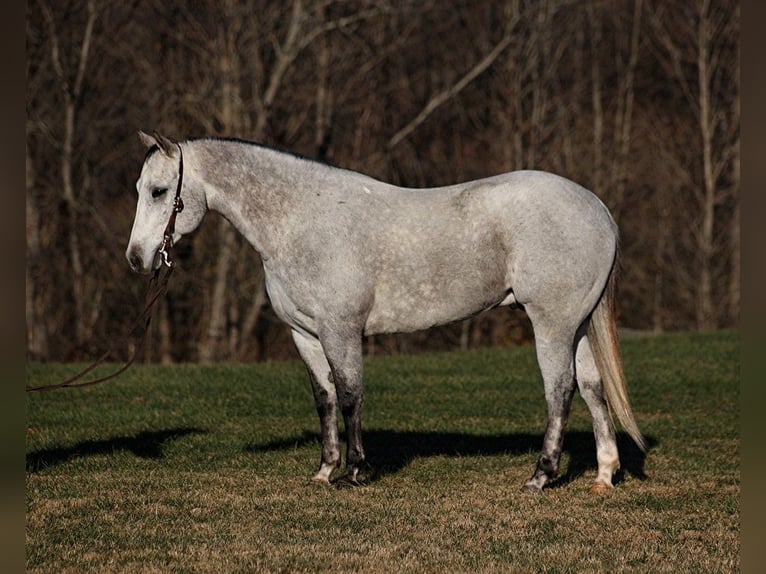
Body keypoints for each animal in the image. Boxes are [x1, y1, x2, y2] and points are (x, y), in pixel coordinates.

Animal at [127, 134, 648, 496]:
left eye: (158, 192)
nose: (137, 258)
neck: (300, 220)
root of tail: (597, 209)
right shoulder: (305, 335)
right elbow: (325, 399)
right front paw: (324, 470)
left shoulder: (341, 329)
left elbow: (351, 395)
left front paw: (354, 471)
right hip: (577, 325)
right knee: (593, 387)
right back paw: (604, 474)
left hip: (552, 324)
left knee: (560, 391)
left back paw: (540, 476)